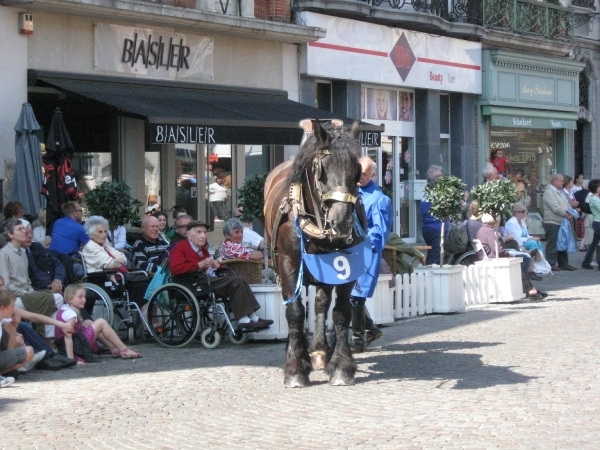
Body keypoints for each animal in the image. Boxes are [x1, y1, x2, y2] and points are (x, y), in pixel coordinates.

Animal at [264, 118, 366, 386]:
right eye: (322, 167)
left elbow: (340, 312)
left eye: (356, 169)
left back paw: (320, 351)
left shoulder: (346, 265)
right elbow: (295, 311)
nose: (342, 222)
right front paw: (295, 368)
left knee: (321, 303)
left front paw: (341, 366)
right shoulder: (288, 261)